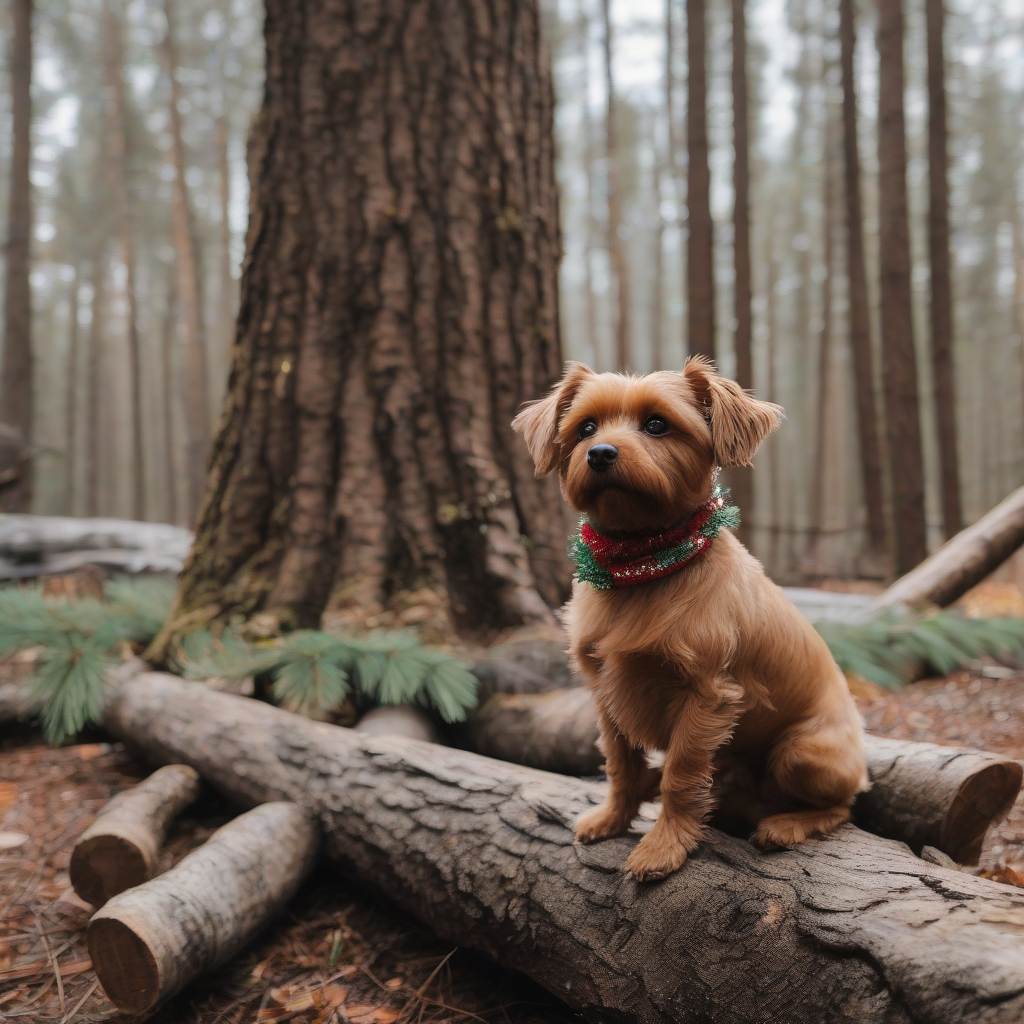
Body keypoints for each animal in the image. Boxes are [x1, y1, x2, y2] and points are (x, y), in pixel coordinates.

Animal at [516, 358, 868, 880]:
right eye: (585, 428)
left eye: (657, 425)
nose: (599, 453)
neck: (642, 566)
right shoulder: (606, 692)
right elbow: (620, 763)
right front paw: (614, 818)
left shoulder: (706, 697)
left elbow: (681, 778)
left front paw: (664, 847)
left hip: (800, 753)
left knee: (842, 806)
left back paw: (786, 825)